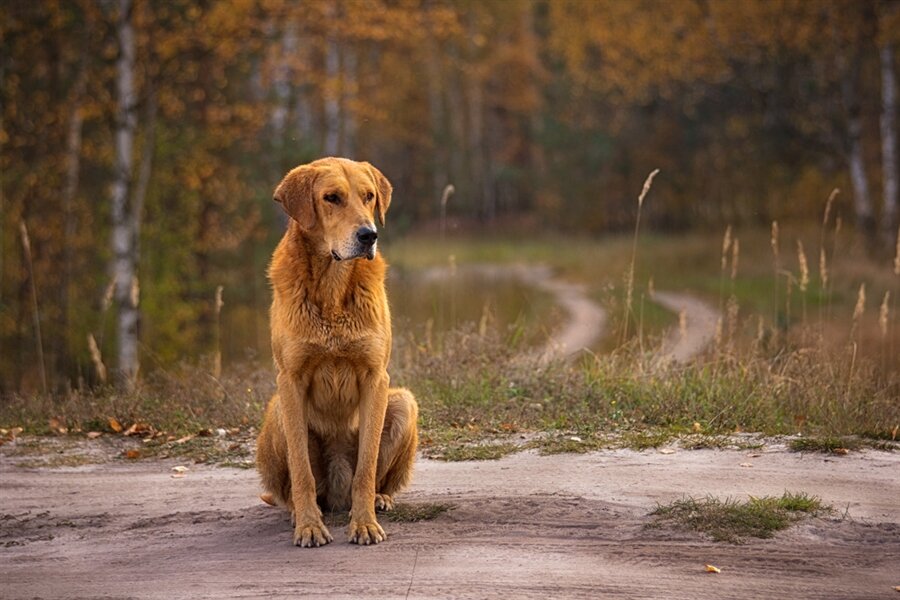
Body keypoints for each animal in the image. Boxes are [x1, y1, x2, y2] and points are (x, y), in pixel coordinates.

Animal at [256, 157, 418, 548]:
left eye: (369, 196)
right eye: (331, 198)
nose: (368, 235)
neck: (332, 287)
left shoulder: (376, 377)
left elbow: (366, 467)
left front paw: (364, 523)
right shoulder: (290, 380)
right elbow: (301, 471)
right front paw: (309, 526)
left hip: (403, 402)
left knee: (373, 477)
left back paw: (379, 499)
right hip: (278, 409)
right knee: (295, 490)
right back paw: (301, 512)